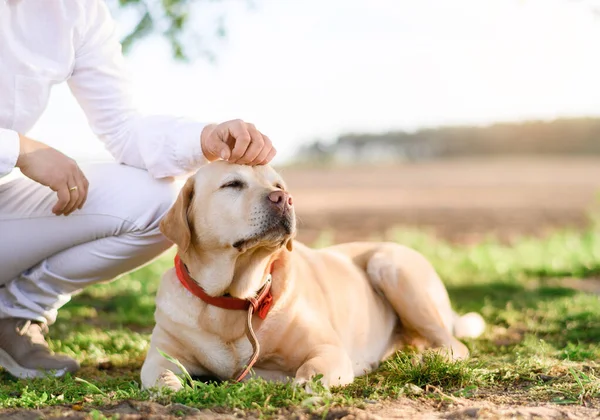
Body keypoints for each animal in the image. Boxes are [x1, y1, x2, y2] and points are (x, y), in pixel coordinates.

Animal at [143, 162, 486, 390]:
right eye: (232, 184)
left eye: (279, 186)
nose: (284, 199)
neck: (235, 297)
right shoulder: (160, 356)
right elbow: (158, 375)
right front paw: (172, 386)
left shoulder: (327, 349)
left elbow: (311, 372)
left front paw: (301, 383)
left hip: (389, 265)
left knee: (455, 345)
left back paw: (422, 360)